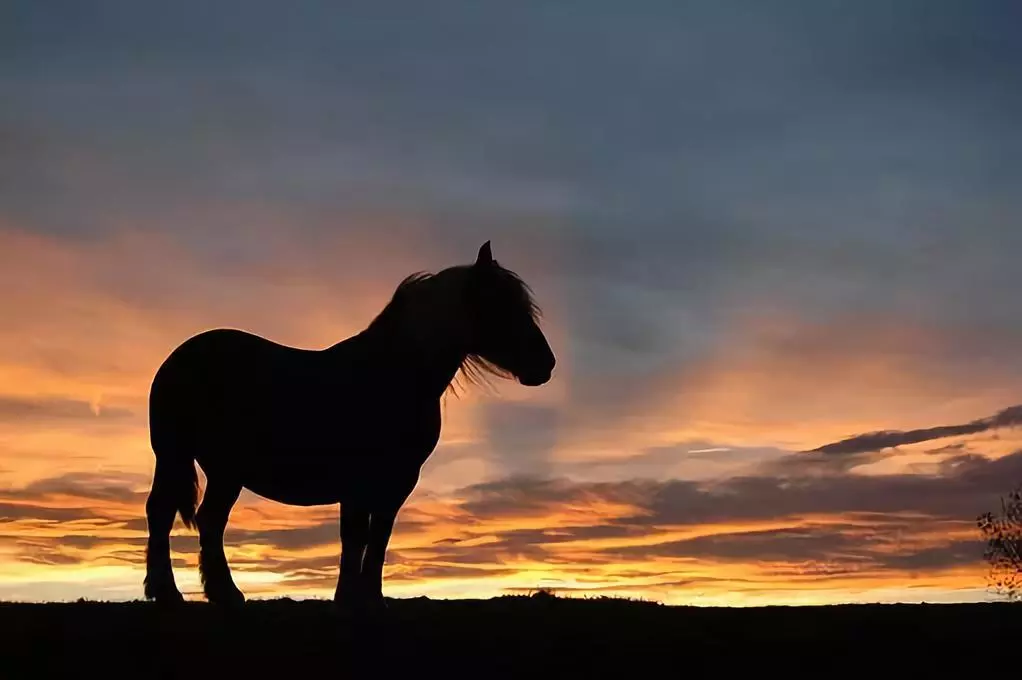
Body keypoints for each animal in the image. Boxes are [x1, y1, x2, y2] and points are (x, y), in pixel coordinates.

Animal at [141, 241, 555, 613]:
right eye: (501, 305)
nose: (546, 364)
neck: (394, 374)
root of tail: (178, 358)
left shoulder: (397, 481)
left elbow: (378, 537)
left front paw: (369, 598)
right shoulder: (359, 481)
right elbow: (355, 536)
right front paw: (350, 599)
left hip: (223, 471)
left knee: (209, 522)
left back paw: (223, 595)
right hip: (181, 458)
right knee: (164, 514)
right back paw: (169, 593)